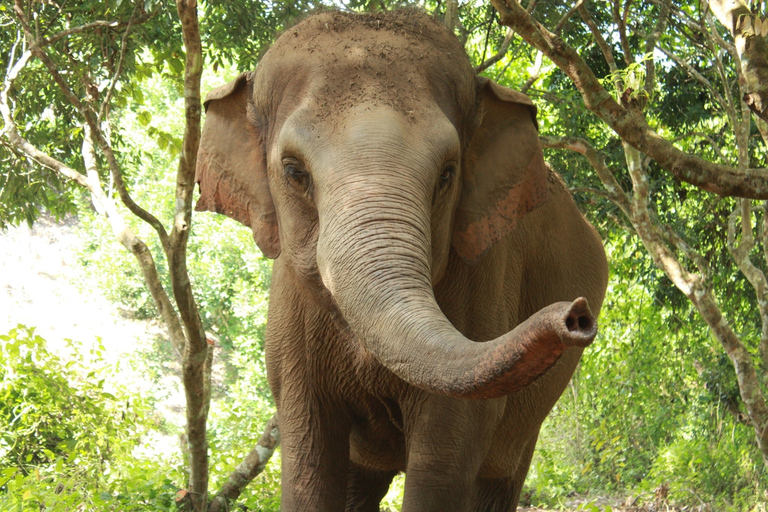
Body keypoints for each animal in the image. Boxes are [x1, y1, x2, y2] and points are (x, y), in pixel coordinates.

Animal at [195, 9, 608, 512]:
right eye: (293, 172)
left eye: (448, 174)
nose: (576, 315)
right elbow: (310, 462)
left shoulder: (483, 282)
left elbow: (443, 462)